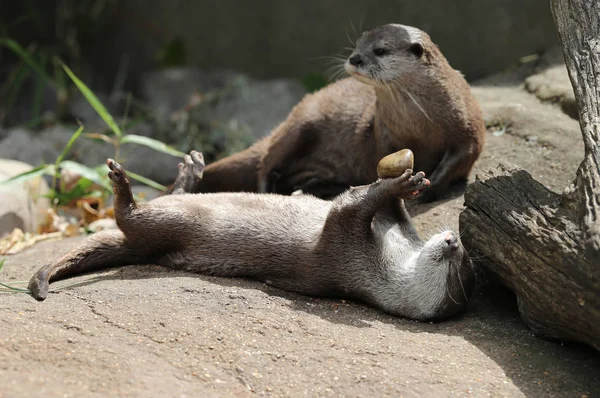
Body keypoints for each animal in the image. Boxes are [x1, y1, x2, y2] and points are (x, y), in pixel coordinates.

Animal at [30, 151, 476, 322]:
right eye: (467, 258)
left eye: (459, 267)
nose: (454, 241)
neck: (390, 253)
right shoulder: (389, 234)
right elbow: (387, 209)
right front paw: (407, 184)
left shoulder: (347, 251)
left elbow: (348, 210)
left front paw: (396, 184)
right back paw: (191, 169)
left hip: (168, 223)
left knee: (129, 217)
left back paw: (122, 184)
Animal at [195, 22, 486, 202]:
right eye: (357, 45)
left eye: (380, 50)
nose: (354, 58)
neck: (419, 125)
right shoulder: (384, 134)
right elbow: (381, 161)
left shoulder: (469, 128)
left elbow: (459, 158)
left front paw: (430, 188)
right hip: (300, 125)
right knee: (266, 164)